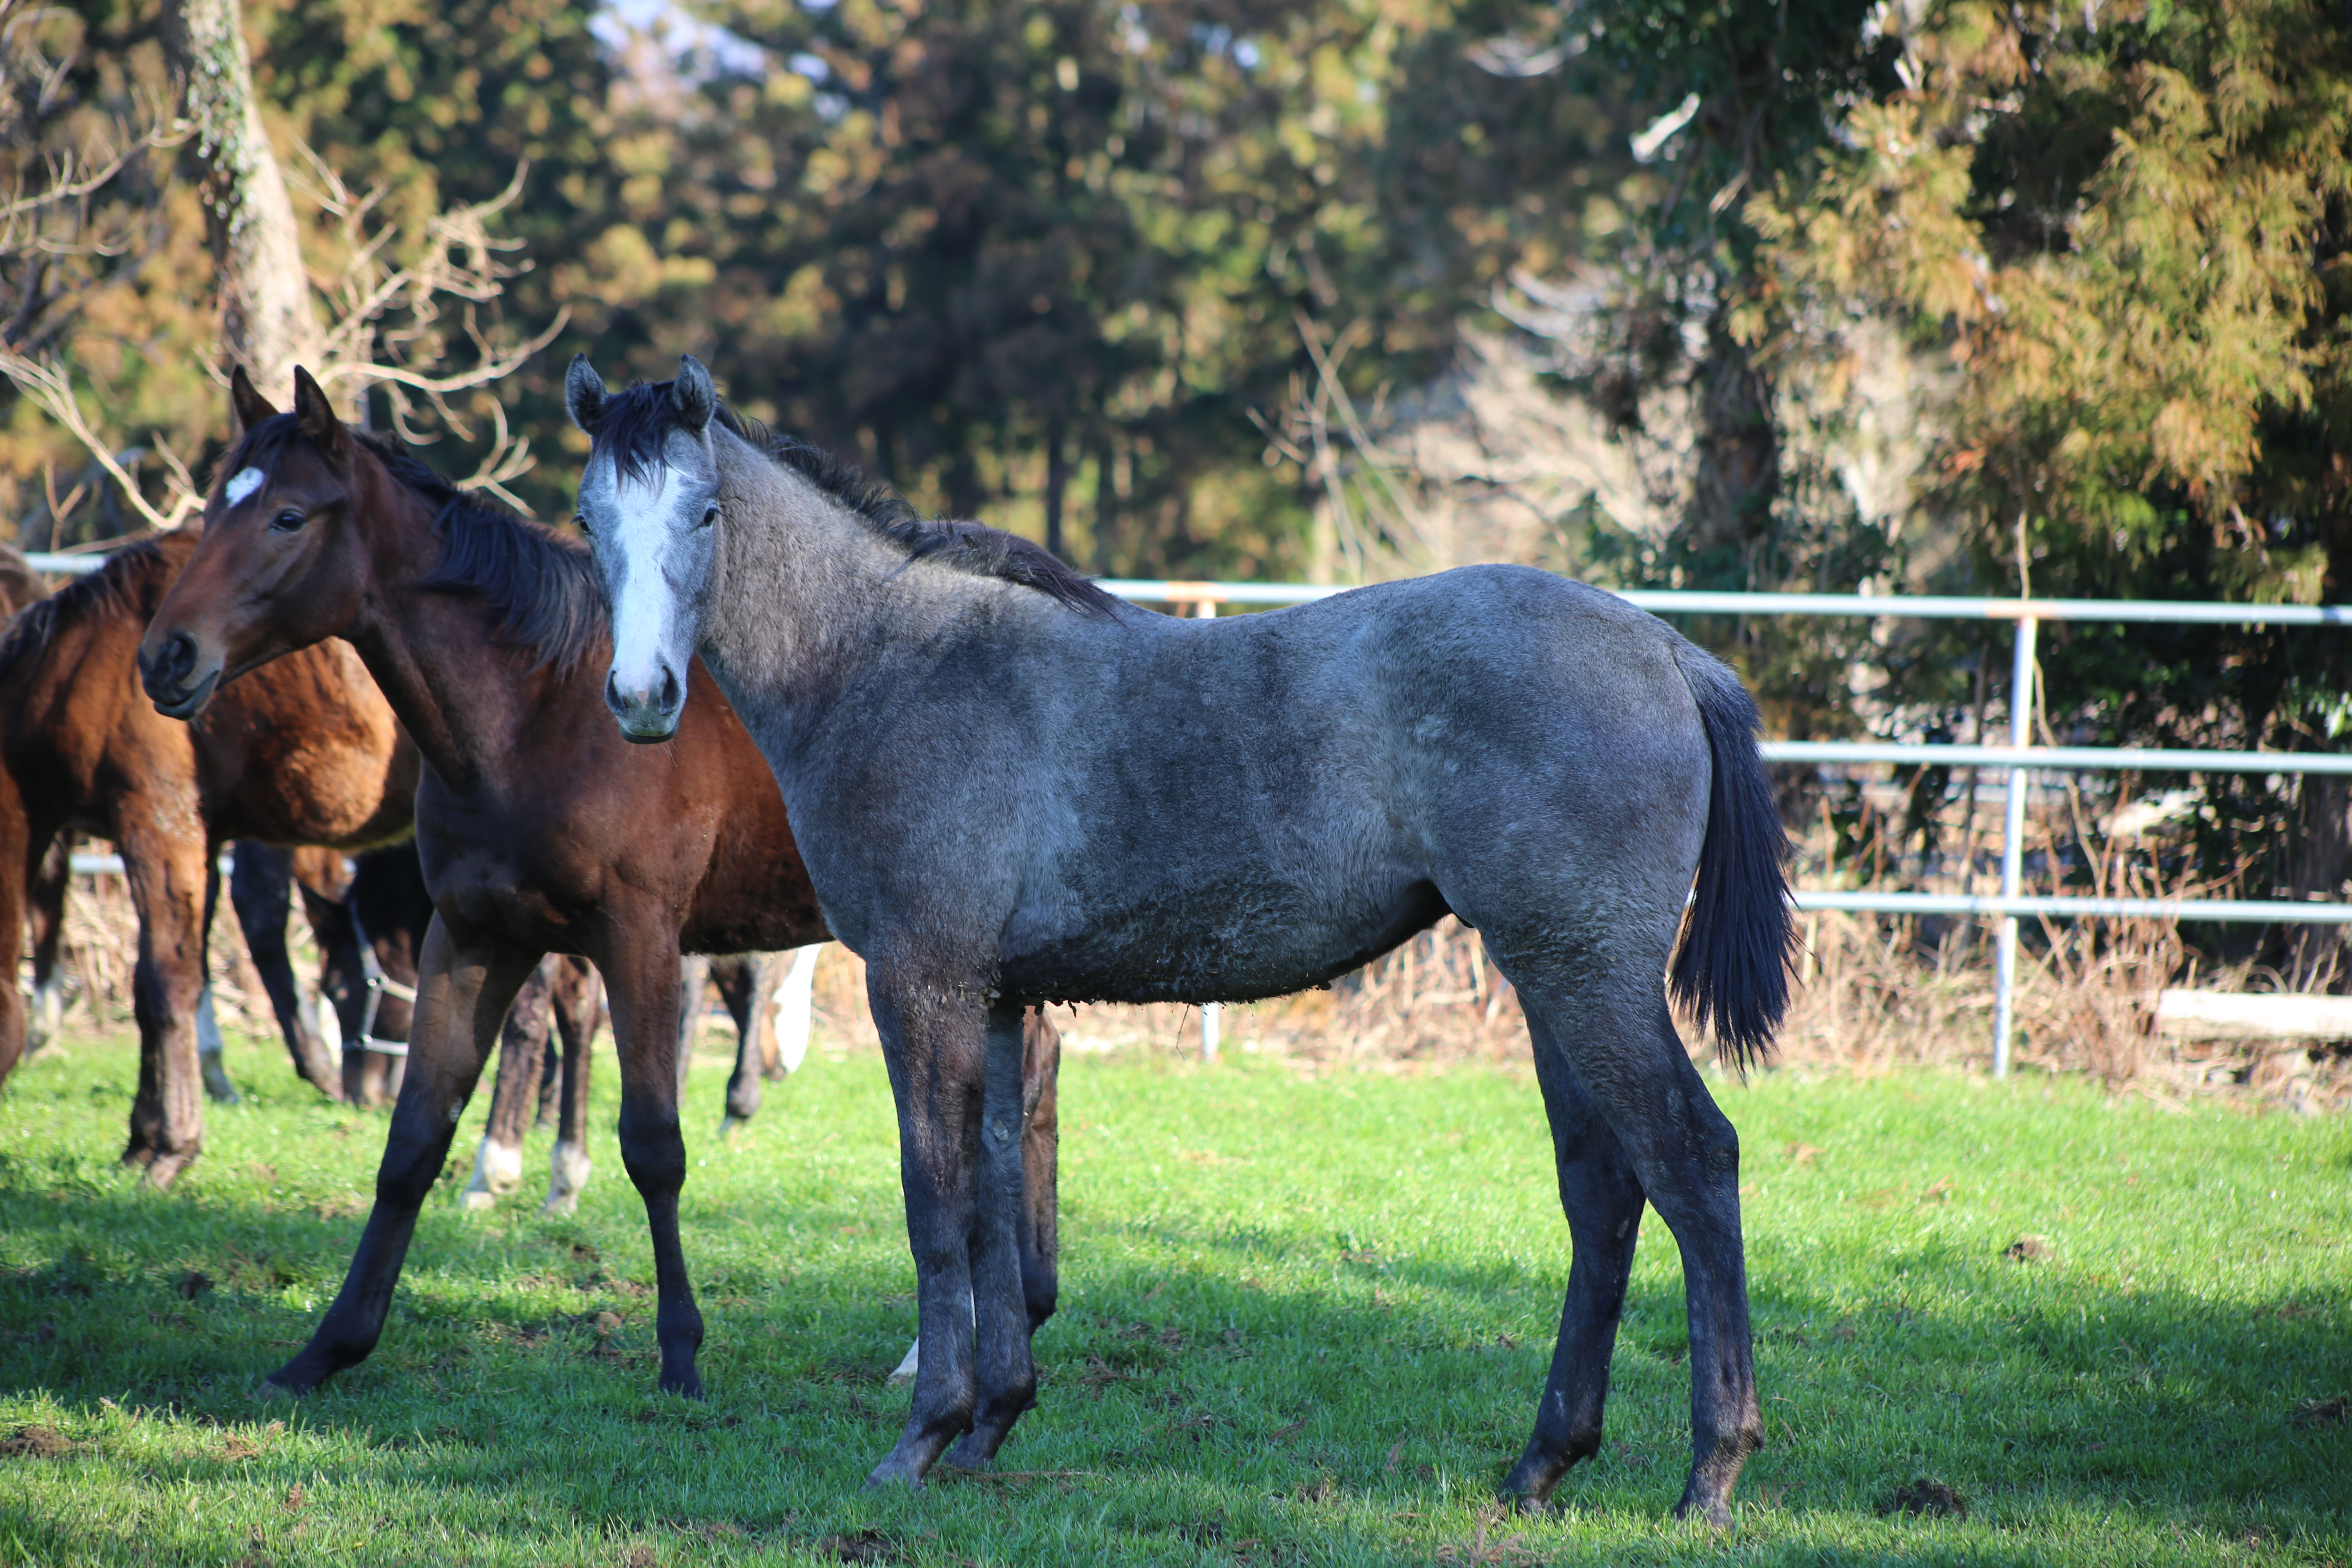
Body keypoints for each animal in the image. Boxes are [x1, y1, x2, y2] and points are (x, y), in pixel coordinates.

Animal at [0, 526, 421, 1175]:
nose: (368, 1092)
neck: (77, 665)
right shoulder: (202, 839)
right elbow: (167, 981)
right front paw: (145, 1138)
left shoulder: (156, 822)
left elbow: (166, 984)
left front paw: (170, 1147)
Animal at [135, 371, 1058, 1410]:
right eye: (217, 506)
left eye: (288, 516)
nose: (168, 656)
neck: (539, 713)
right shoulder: (472, 937)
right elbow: (413, 1144)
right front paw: (328, 1347)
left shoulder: (639, 939)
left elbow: (653, 1145)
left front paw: (681, 1354)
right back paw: (1021, 1307)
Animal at [559, 352, 1787, 1523]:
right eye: (587, 515)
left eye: (705, 512)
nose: (641, 696)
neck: (888, 664)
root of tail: (1668, 653)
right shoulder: (997, 997)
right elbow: (999, 1190)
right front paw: (992, 1423)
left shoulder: (921, 983)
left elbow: (935, 1194)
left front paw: (921, 1438)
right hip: (1548, 979)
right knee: (1602, 1189)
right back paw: (1541, 1463)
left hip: (1586, 977)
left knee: (1692, 1160)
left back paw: (1711, 1474)